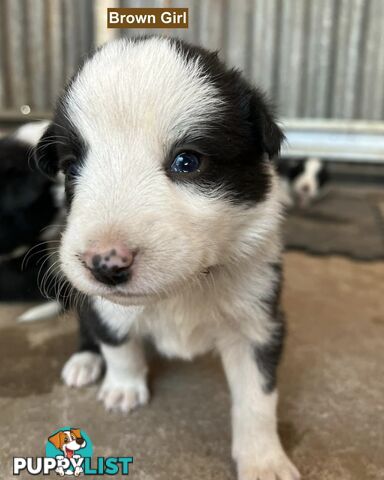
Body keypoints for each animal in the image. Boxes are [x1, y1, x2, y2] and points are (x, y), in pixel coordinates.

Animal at [35, 37, 300, 480]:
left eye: (187, 161)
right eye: (71, 168)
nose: (105, 263)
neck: (183, 288)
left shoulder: (256, 313)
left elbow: (257, 397)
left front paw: (264, 461)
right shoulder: (107, 307)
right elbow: (118, 342)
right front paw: (123, 387)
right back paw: (84, 362)